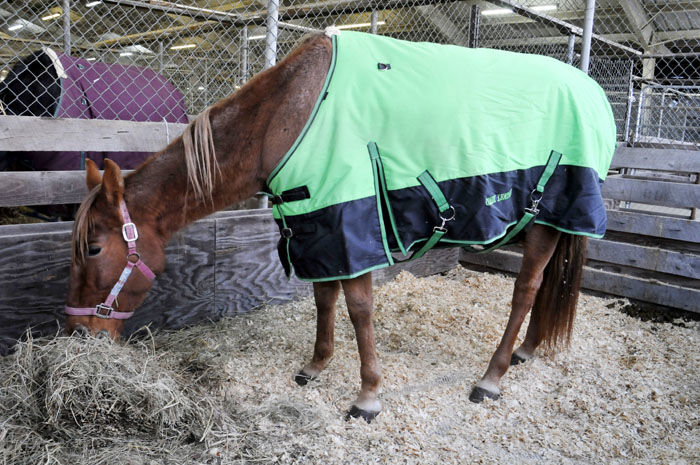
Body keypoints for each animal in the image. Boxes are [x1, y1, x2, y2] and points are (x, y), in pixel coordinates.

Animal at [63, 30, 615, 423]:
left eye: (93, 249)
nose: (77, 333)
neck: (289, 114)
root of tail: (592, 92)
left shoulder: (352, 222)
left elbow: (358, 310)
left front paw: (368, 395)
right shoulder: (315, 224)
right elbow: (324, 301)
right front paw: (315, 367)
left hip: (549, 217)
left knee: (527, 289)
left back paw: (491, 377)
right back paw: (526, 350)